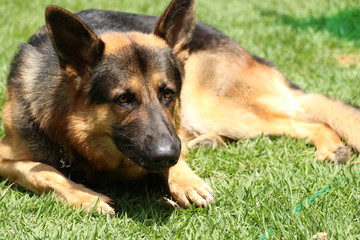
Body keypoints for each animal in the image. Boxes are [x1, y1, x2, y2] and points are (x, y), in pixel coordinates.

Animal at [0, 0, 360, 214]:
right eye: (123, 99)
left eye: (168, 93)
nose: (168, 153)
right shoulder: (7, 157)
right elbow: (45, 173)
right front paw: (86, 197)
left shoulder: (169, 132)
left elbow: (175, 161)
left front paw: (186, 181)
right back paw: (207, 142)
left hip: (214, 108)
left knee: (307, 120)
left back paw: (331, 147)